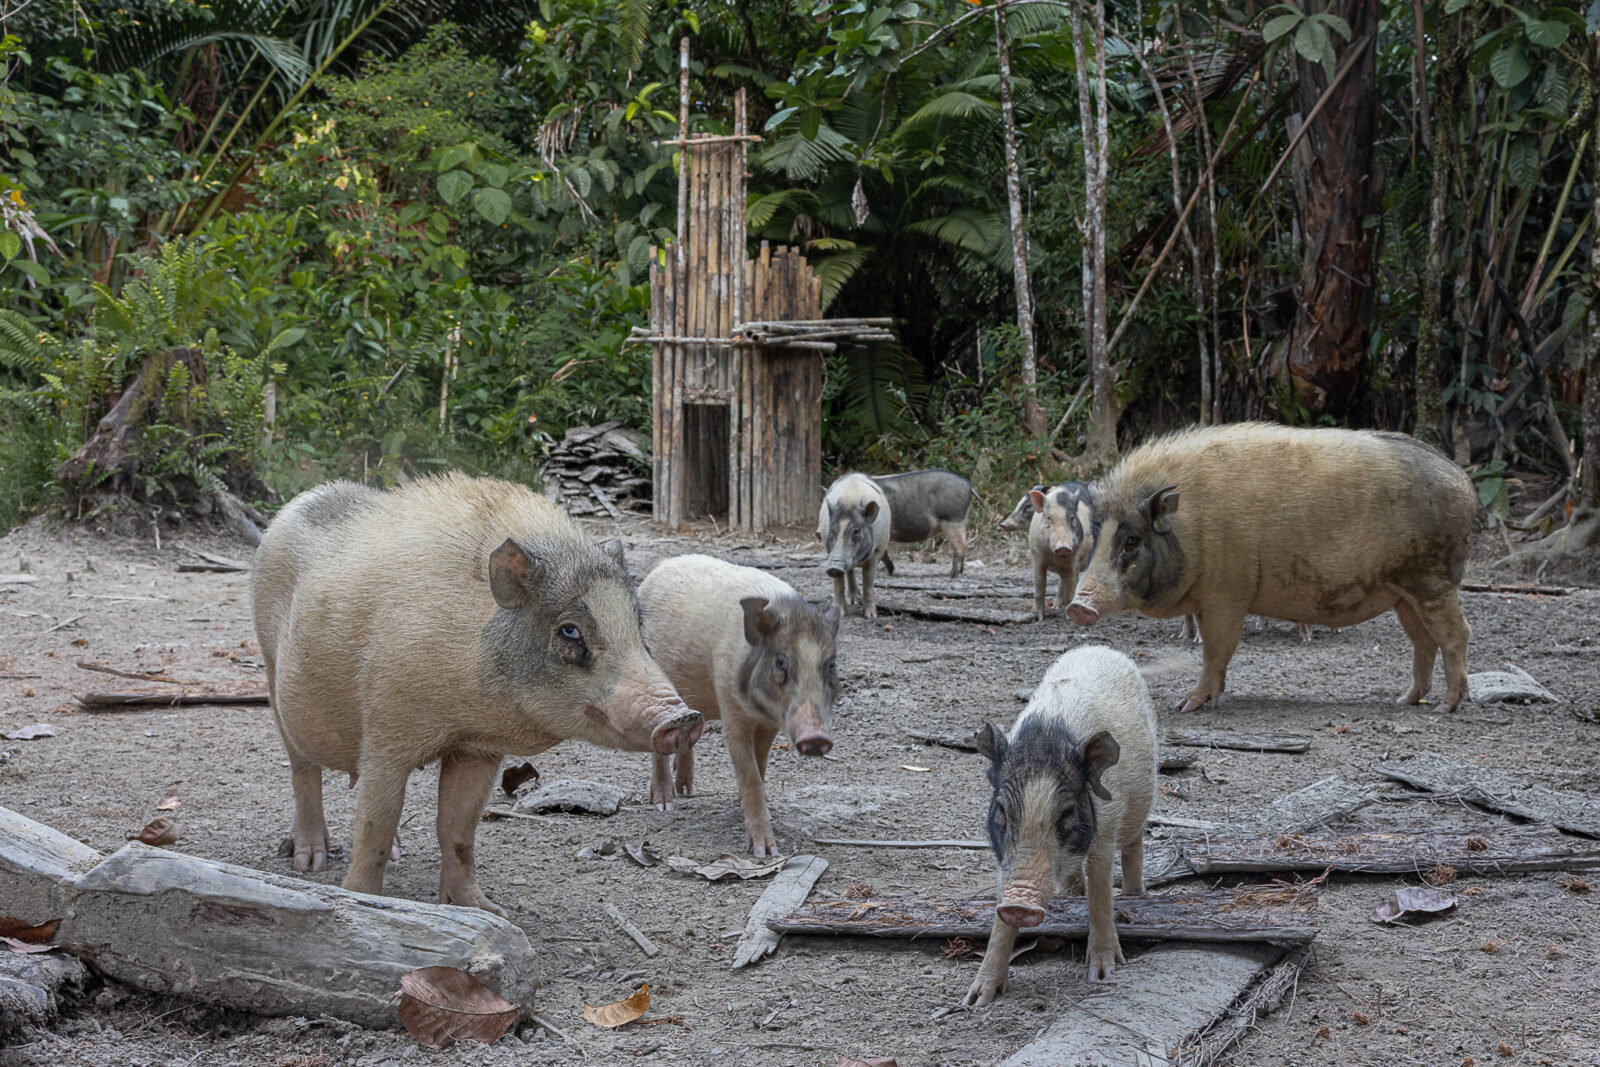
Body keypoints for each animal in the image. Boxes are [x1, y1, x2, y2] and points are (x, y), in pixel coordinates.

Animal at [251, 474, 703, 915]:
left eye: (637, 624)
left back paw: (397, 854)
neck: (463, 710)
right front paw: (363, 901)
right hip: (271, 671)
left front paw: (487, 911)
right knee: (303, 770)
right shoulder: (386, 732)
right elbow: (375, 826)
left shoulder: (477, 749)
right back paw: (309, 861)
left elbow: (458, 829)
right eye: (569, 630)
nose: (683, 718)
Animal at [638, 555, 840, 856]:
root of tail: (660, 566)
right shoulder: (730, 708)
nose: (816, 737)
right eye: (781, 663)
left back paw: (686, 790)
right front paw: (765, 853)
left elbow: (761, 765)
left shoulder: (770, 724)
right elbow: (750, 775)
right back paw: (665, 804)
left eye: (831, 666)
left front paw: (743, 805)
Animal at [818, 473, 891, 619]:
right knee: (850, 571)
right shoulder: (830, 552)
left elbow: (868, 581)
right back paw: (853, 600)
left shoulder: (876, 552)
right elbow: (838, 583)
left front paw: (871, 616)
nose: (834, 567)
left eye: (856, 531)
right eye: (832, 530)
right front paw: (839, 613)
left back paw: (856, 601)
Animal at [965, 646, 1157, 1004]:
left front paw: (1103, 975)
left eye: (1067, 812)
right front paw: (976, 1000)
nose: (1019, 903)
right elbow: (999, 915)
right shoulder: (1004, 855)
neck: (1046, 737)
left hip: (1141, 803)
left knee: (1133, 846)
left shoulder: (1106, 828)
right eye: (1002, 809)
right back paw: (1071, 895)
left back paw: (1134, 894)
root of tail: (1100, 648)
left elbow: (1100, 893)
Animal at [1067, 424, 1475, 712]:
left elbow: (1216, 650)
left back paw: (1445, 707)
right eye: (1096, 536)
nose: (1078, 606)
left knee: (1456, 634)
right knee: (1423, 641)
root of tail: (1463, 480)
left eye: (1132, 540)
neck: (1190, 526)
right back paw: (1404, 700)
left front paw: (1185, 706)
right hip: (1403, 593)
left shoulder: (1227, 595)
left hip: (1432, 578)